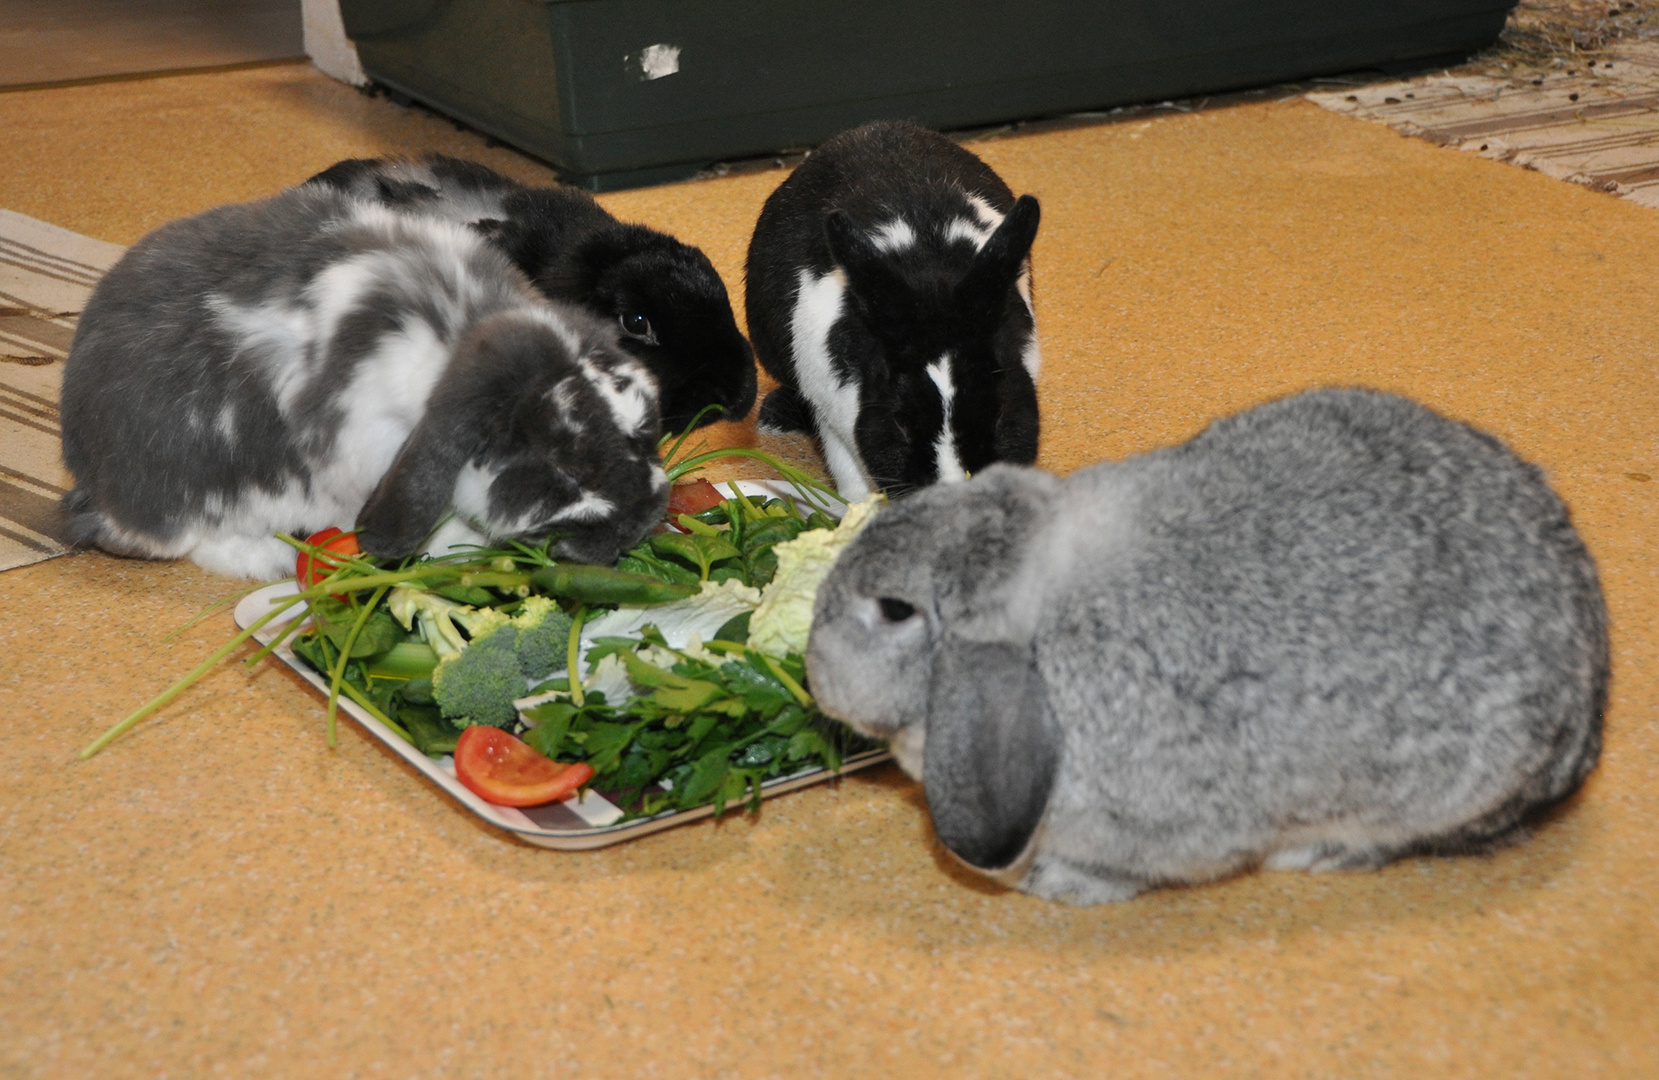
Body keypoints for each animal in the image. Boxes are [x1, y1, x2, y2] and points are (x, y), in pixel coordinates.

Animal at [58, 184, 666, 583]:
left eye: (646, 428)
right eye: (565, 470)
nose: (643, 522)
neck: (456, 335)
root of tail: (87, 467)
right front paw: (462, 550)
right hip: (198, 488)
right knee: (196, 538)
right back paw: (267, 560)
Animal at [749, 121, 1041, 504]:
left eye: (999, 413)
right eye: (899, 422)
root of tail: (870, 129)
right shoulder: (830, 410)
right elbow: (849, 476)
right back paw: (774, 417)